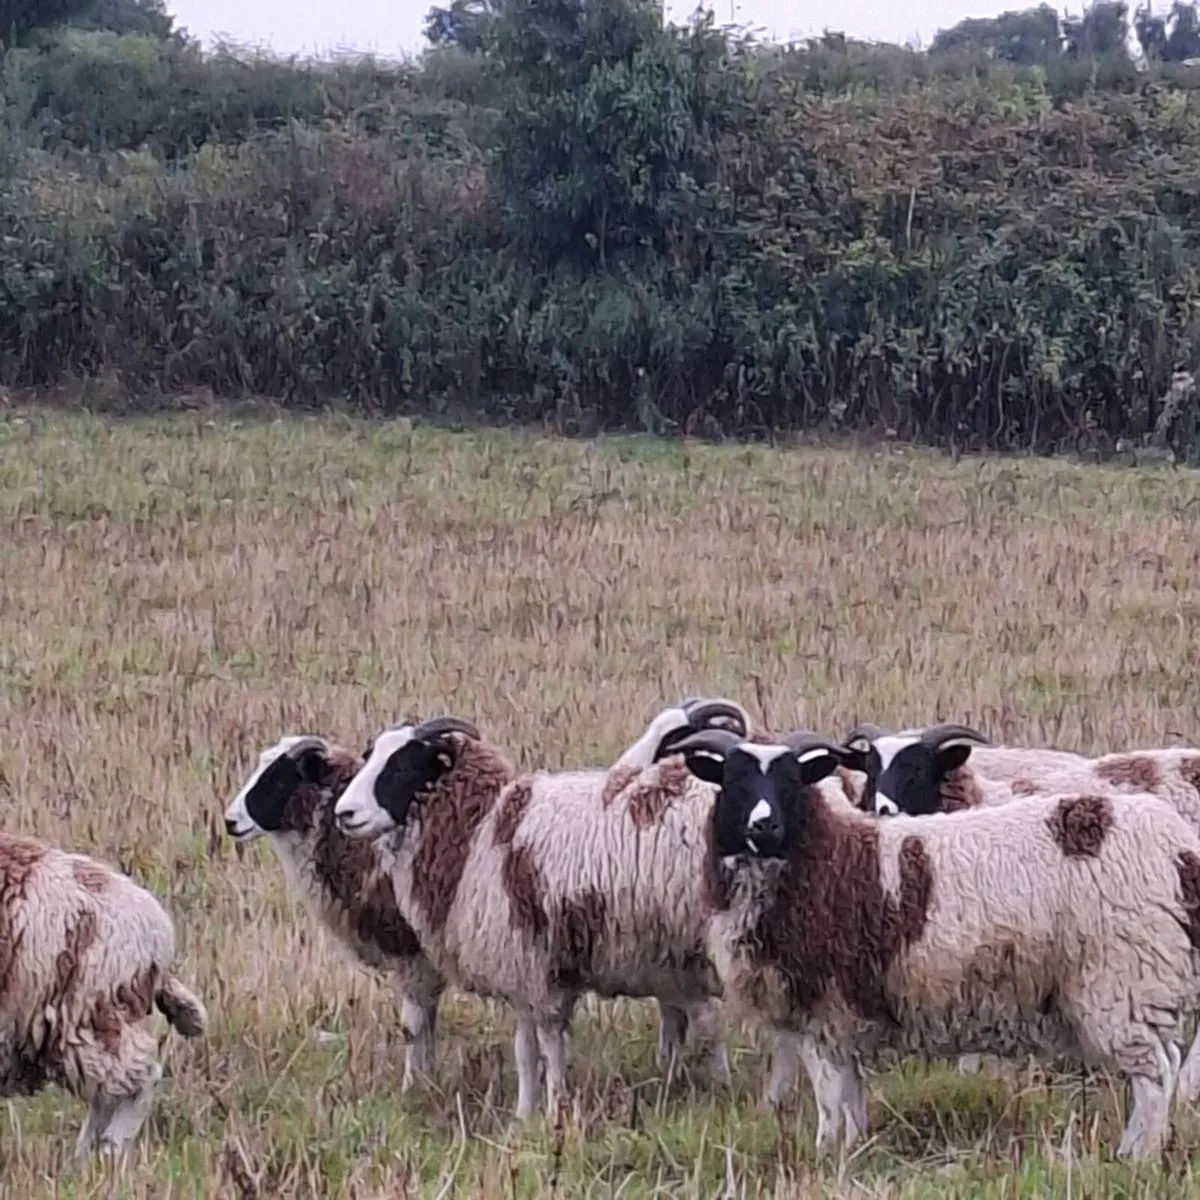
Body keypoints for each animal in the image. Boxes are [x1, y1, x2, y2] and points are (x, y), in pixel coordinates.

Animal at [223, 735, 446, 1091]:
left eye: (281, 778)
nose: (230, 821)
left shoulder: (411, 951)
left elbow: (414, 1022)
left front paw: (412, 1085)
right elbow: (428, 1020)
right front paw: (428, 1078)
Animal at [331, 699, 764, 1119]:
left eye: (404, 763)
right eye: (370, 756)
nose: (344, 813)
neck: (481, 829)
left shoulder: (537, 965)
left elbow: (550, 1044)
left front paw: (556, 1107)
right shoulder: (520, 968)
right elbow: (525, 1050)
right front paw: (525, 1114)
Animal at [666, 725, 1200, 1160]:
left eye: (790, 780)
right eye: (733, 779)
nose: (764, 825)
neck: (826, 857)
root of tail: (1181, 852)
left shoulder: (825, 1013)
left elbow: (830, 1098)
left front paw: (823, 1154)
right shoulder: (840, 1018)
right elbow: (851, 1098)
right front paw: (852, 1150)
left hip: (1124, 982)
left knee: (1156, 1074)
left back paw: (1136, 1156)